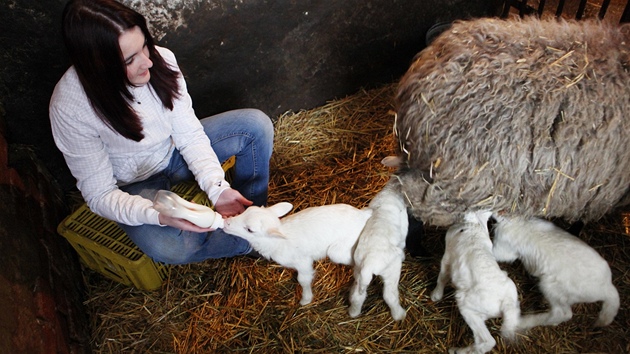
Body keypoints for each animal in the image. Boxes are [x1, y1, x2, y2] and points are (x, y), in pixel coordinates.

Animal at [223, 202, 372, 304]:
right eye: (245, 210)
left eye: (250, 230)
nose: (226, 222)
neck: (277, 242)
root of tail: (363, 215)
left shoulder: (303, 262)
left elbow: (303, 279)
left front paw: (305, 299)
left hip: (339, 250)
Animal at [350, 184, 410, 322]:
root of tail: (368, 264)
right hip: (391, 272)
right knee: (389, 295)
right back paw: (400, 315)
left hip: (359, 271)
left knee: (357, 296)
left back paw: (353, 312)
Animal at [432, 210, 520, 354]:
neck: (473, 226)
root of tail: (506, 302)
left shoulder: (447, 257)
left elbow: (442, 277)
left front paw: (435, 295)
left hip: (467, 306)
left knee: (486, 341)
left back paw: (457, 351)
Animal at [494, 214, 624, 330]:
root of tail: (607, 288)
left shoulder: (506, 250)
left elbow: (497, 254)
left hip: (553, 289)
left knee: (562, 314)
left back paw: (523, 323)